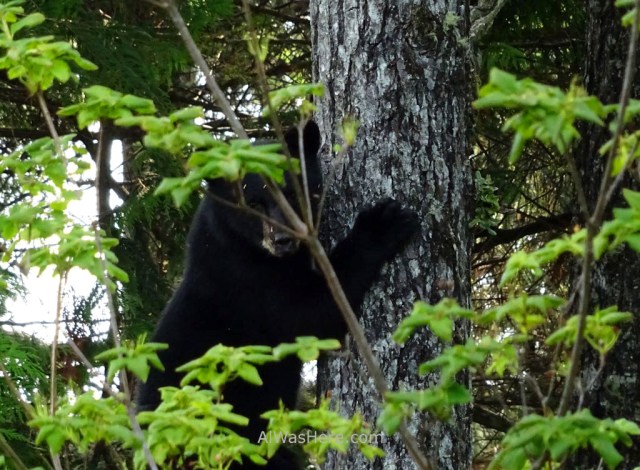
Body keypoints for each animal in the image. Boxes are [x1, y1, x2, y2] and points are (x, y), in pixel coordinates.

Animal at [136, 120, 419, 469]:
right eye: (253, 203)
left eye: (292, 193)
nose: (283, 239)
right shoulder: (246, 284)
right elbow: (307, 315)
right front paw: (381, 224)